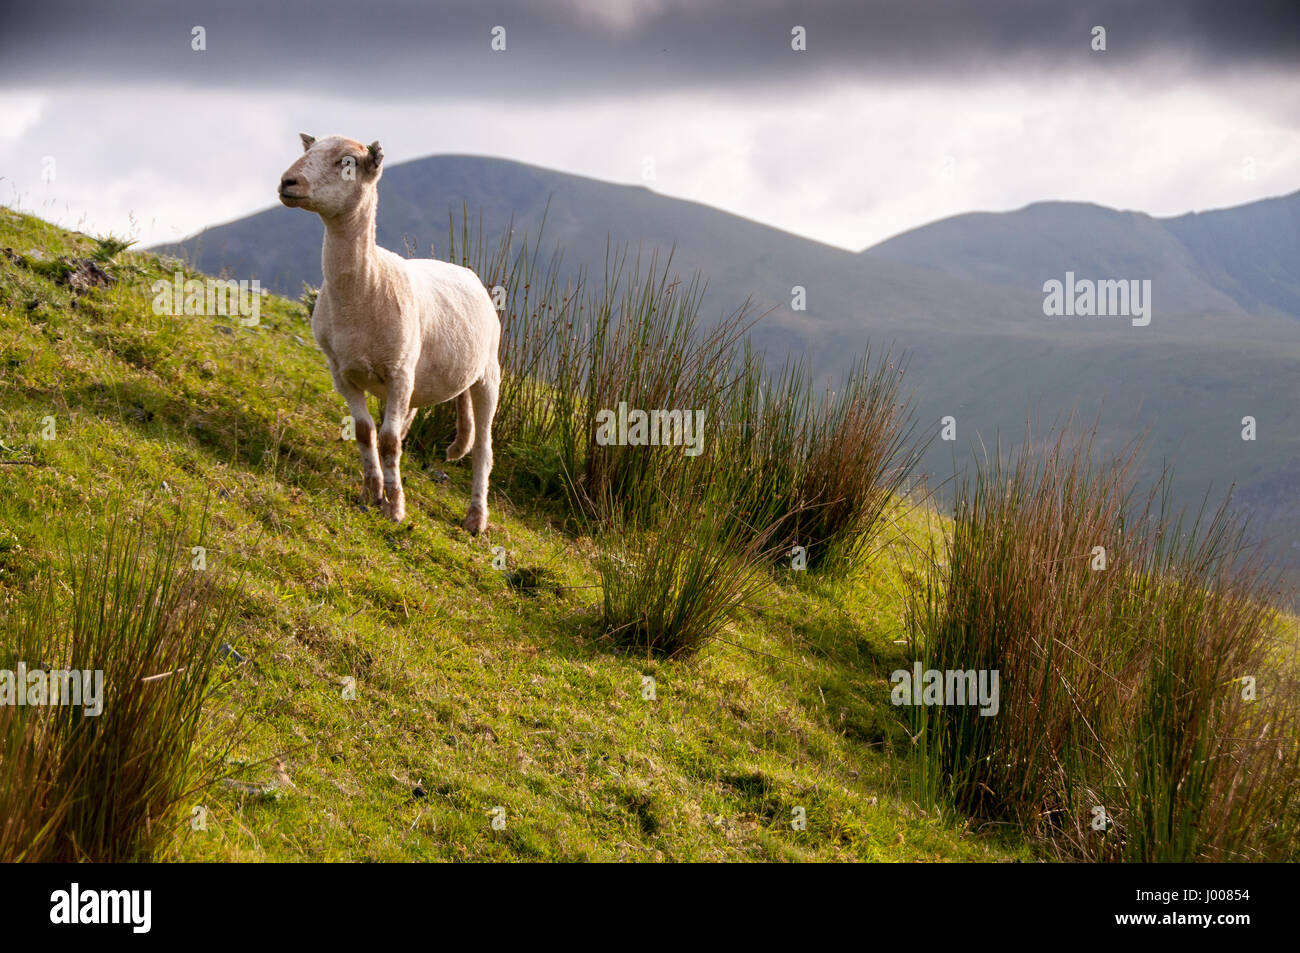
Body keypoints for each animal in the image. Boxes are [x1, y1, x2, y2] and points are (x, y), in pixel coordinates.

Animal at [276, 131, 499, 535]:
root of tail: (463, 270)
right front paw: (372, 493)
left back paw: (476, 518)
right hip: (421, 382)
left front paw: (394, 510)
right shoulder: (341, 372)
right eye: (310, 151)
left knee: (483, 450)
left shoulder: (399, 374)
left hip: (488, 374)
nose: (289, 182)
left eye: (348, 162)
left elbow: (390, 440)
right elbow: (366, 433)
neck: (365, 284)